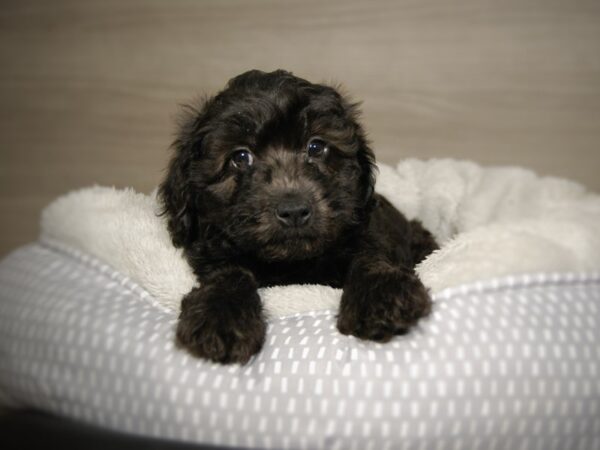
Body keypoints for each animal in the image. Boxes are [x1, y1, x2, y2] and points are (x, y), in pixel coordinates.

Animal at [159, 71, 438, 366]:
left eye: (316, 147)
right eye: (240, 157)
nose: (293, 210)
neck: (293, 263)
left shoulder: (369, 230)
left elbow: (370, 256)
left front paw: (382, 294)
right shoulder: (213, 252)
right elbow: (228, 273)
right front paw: (220, 314)